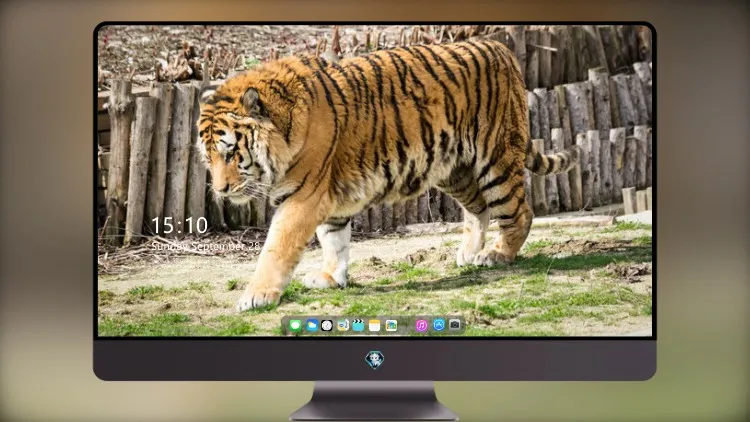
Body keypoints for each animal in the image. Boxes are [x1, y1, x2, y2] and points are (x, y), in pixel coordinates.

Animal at [196, 39, 580, 311]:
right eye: (208, 157)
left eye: (230, 152)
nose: (221, 190)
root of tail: (502, 48)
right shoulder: (327, 201)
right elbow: (334, 241)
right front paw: (331, 278)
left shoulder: (303, 198)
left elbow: (277, 249)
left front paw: (256, 296)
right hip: (453, 169)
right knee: (479, 209)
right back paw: (469, 254)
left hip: (495, 158)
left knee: (519, 212)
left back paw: (497, 255)